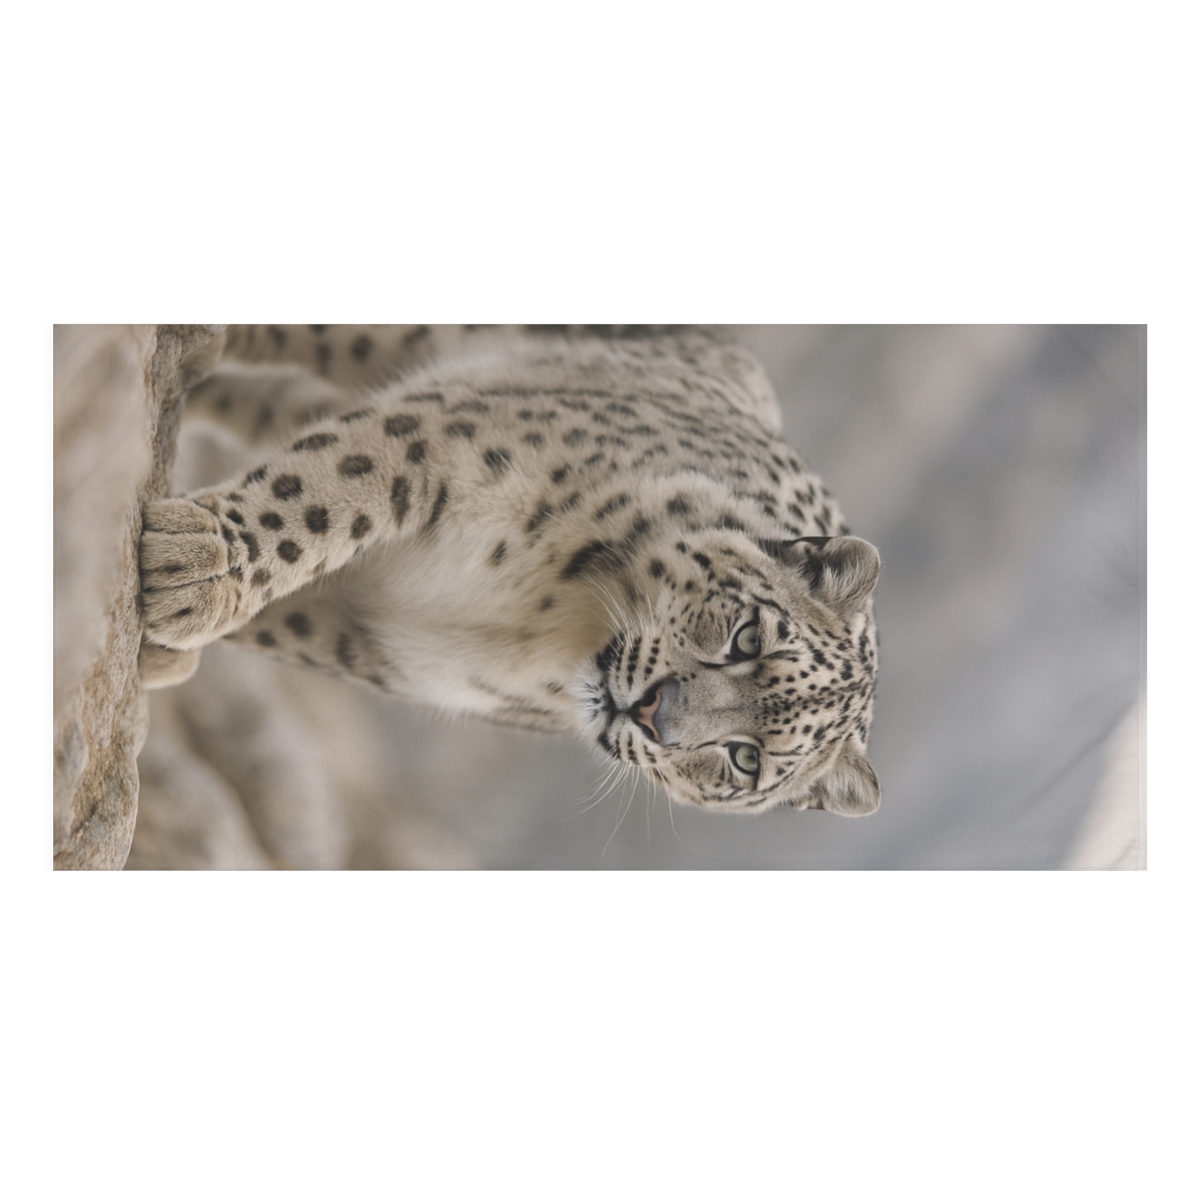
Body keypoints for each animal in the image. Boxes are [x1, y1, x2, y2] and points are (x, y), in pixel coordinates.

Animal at [139, 325, 882, 816]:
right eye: (748, 637)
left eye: (746, 759)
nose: (653, 712)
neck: (537, 617)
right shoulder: (446, 439)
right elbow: (324, 495)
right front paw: (198, 568)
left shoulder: (377, 641)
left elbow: (286, 621)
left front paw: (167, 638)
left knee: (267, 402)